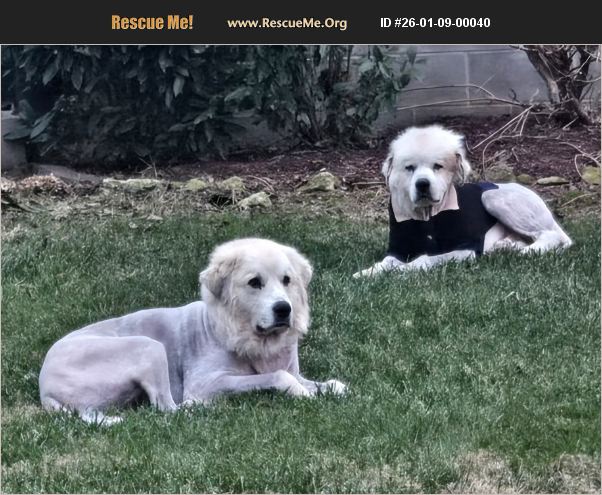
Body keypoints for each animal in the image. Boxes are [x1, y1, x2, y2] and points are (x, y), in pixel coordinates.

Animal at [39, 238, 346, 425]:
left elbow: (322, 383)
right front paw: (301, 393)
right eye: (254, 282)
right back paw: (198, 408)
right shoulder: (206, 383)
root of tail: (44, 388)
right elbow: (279, 377)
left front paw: (328, 387)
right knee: (168, 407)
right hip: (149, 346)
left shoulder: (294, 369)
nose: (283, 309)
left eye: (287, 280)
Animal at [354, 125, 573, 277]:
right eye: (409, 168)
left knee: (552, 235)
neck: (427, 214)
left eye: (438, 166)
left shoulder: (464, 250)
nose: (422, 184)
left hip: (492, 197)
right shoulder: (398, 250)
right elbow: (385, 263)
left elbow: (425, 259)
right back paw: (506, 246)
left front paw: (402, 271)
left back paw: (528, 250)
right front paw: (368, 273)